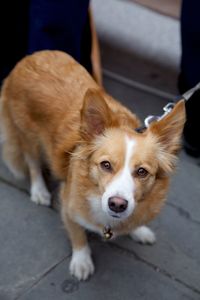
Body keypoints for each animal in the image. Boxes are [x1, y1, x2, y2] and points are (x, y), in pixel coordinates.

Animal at [0, 49, 186, 282]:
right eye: (105, 165)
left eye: (142, 172)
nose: (117, 204)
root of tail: (31, 57)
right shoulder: (68, 207)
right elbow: (78, 235)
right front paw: (81, 261)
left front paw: (139, 230)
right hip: (28, 137)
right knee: (32, 163)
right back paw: (39, 191)